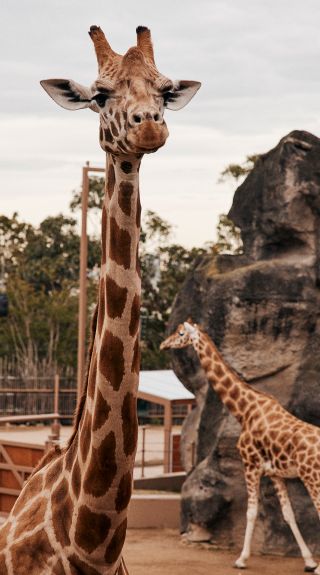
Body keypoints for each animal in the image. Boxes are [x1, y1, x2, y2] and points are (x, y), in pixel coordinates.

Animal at [160, 322, 320, 572]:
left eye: (180, 333)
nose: (163, 344)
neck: (245, 410)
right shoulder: (275, 474)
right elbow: (288, 514)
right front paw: (309, 561)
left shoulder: (250, 465)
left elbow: (251, 512)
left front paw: (241, 559)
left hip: (311, 477)